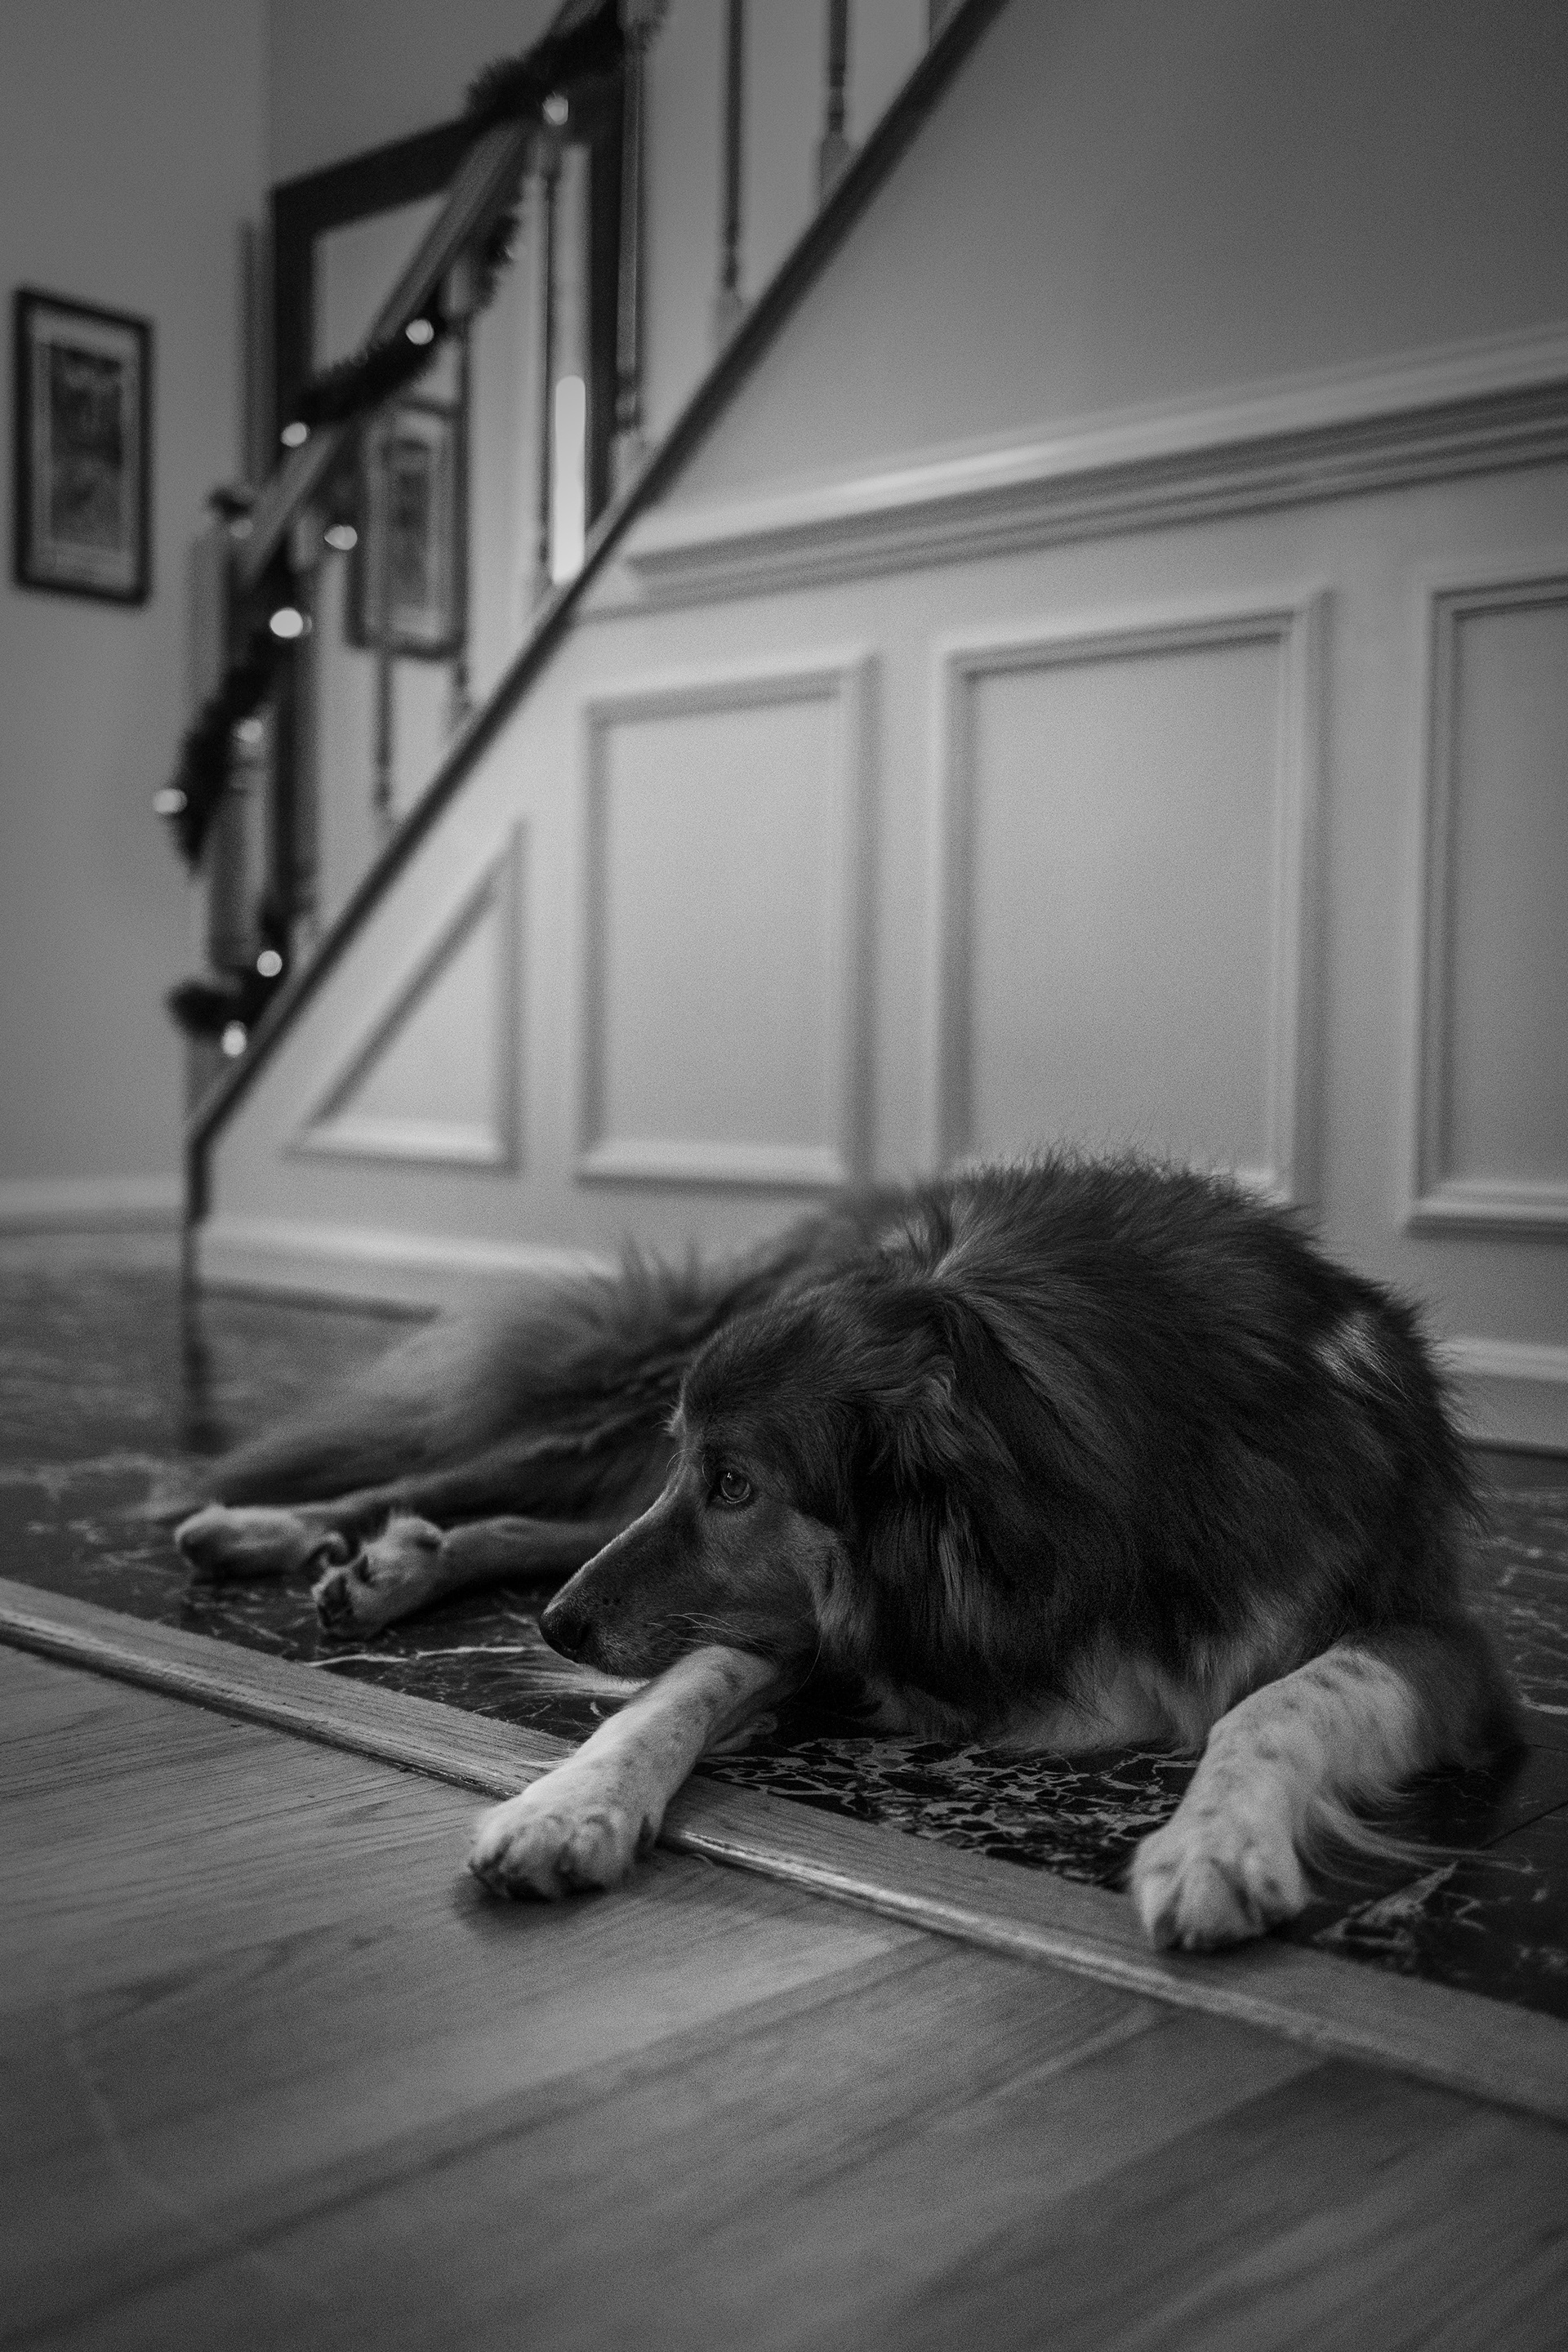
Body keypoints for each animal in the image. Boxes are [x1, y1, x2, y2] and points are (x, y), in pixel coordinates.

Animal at [175, 1154, 1517, 1949]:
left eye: (735, 1484)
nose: (556, 1630)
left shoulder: (1440, 1644)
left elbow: (1272, 1703)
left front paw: (1215, 1843)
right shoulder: (829, 1613)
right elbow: (679, 1692)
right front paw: (570, 1804)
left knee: (525, 1525)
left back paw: (395, 1568)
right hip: (622, 1427)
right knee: (451, 1478)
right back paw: (270, 1530)